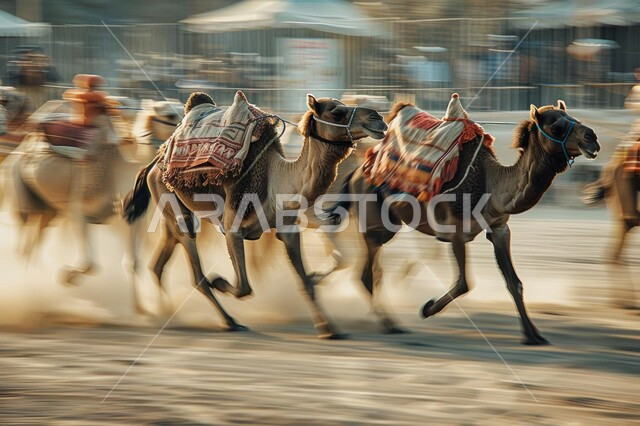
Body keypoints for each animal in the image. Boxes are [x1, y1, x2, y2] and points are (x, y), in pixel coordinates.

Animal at [1, 95, 182, 313]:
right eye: (170, 115)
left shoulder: (130, 221)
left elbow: (133, 261)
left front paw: (140, 308)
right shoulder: (77, 212)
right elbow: (91, 263)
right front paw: (67, 277)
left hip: (48, 211)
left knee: (32, 245)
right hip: (21, 196)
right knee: (21, 244)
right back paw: (32, 293)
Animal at [123, 92, 387, 337]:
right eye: (336, 112)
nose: (379, 119)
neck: (277, 180)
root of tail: (155, 162)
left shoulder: (288, 230)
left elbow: (306, 283)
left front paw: (329, 328)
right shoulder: (233, 228)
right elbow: (244, 287)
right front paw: (219, 282)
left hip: (172, 213)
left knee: (158, 264)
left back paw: (166, 315)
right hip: (171, 202)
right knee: (196, 272)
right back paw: (226, 321)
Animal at [325, 100, 600, 344]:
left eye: (574, 118)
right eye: (556, 127)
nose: (592, 138)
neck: (492, 185)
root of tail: (357, 172)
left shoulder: (499, 228)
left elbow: (515, 283)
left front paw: (533, 335)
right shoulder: (456, 232)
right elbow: (464, 284)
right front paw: (427, 308)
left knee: (369, 270)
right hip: (375, 224)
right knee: (366, 274)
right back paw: (389, 324)